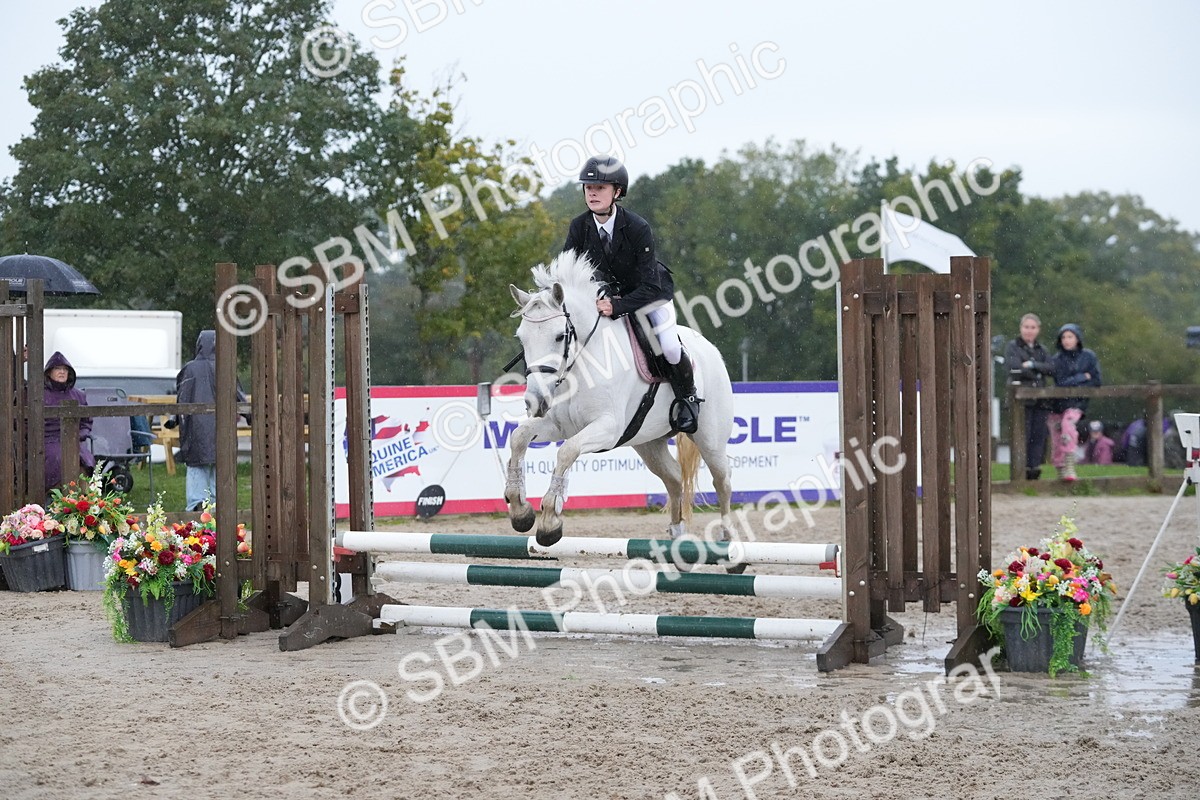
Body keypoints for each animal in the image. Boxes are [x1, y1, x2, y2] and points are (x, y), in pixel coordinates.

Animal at [504, 249, 736, 549]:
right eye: (522, 339)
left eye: (559, 336)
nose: (535, 401)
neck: (581, 363)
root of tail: (710, 348)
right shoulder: (560, 425)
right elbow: (519, 438)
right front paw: (520, 510)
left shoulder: (607, 428)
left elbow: (566, 451)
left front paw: (550, 521)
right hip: (648, 442)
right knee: (674, 478)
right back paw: (676, 534)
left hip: (710, 439)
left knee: (722, 480)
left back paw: (728, 539)